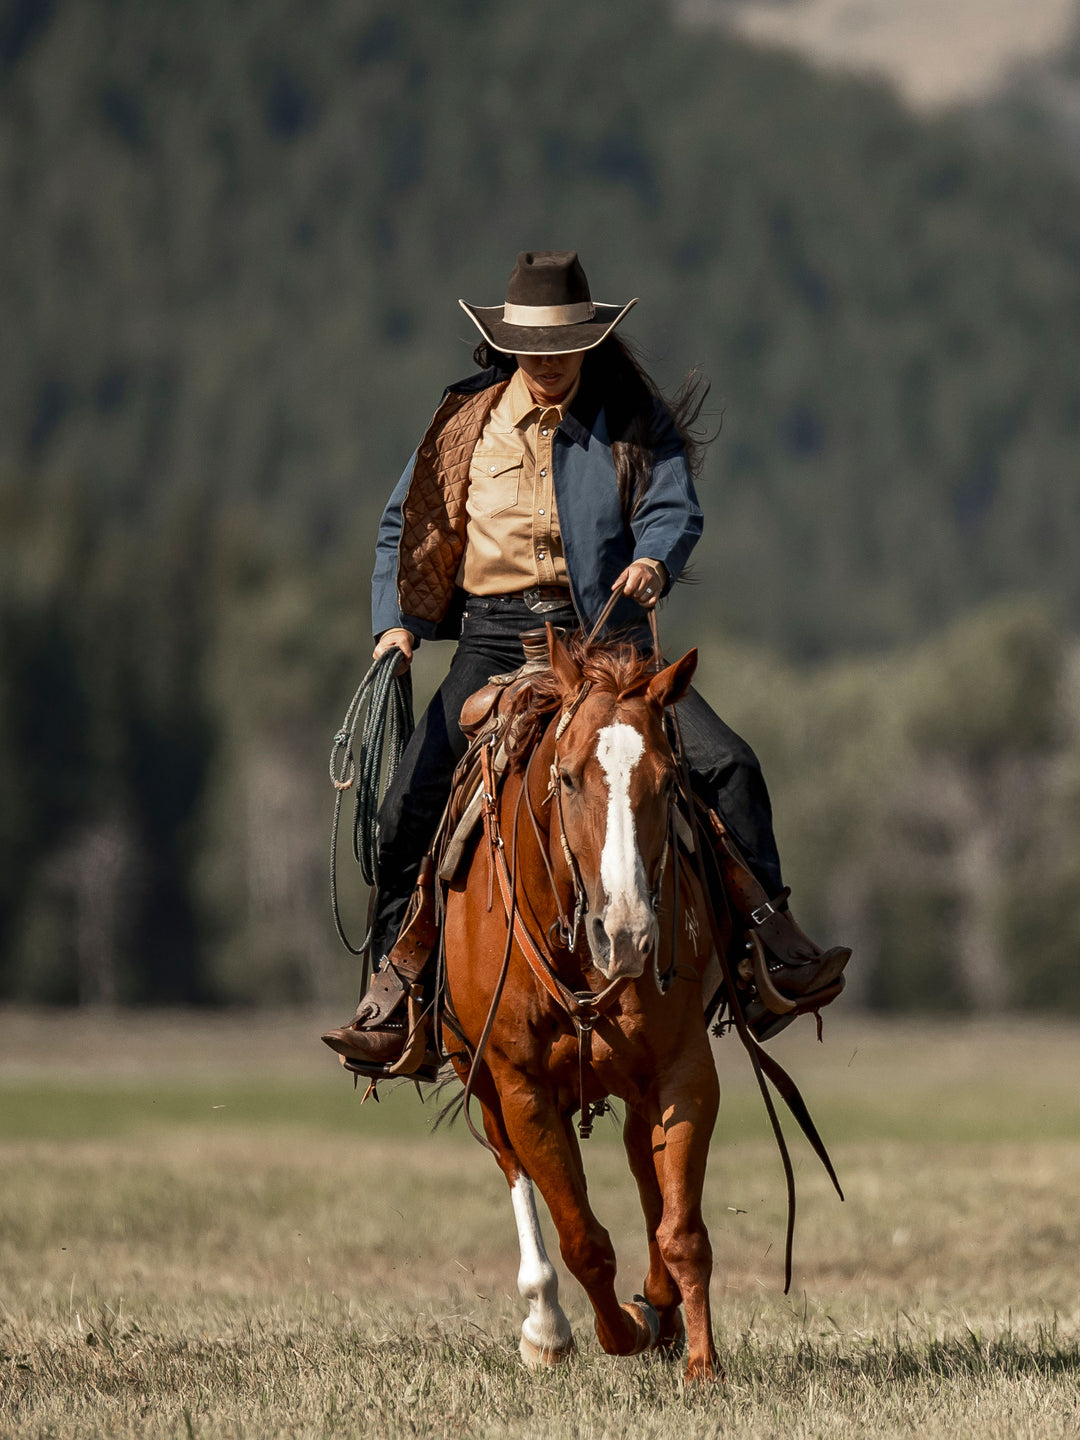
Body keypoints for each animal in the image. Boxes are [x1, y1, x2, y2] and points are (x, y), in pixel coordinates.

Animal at [443, 630, 731, 1382]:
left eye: (669, 781)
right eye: (568, 778)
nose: (626, 934)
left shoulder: (684, 1071)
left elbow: (682, 1229)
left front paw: (700, 1362)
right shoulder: (521, 1088)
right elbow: (584, 1241)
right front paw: (621, 1329)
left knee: (642, 1165)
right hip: (480, 1081)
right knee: (516, 1172)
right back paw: (547, 1329)